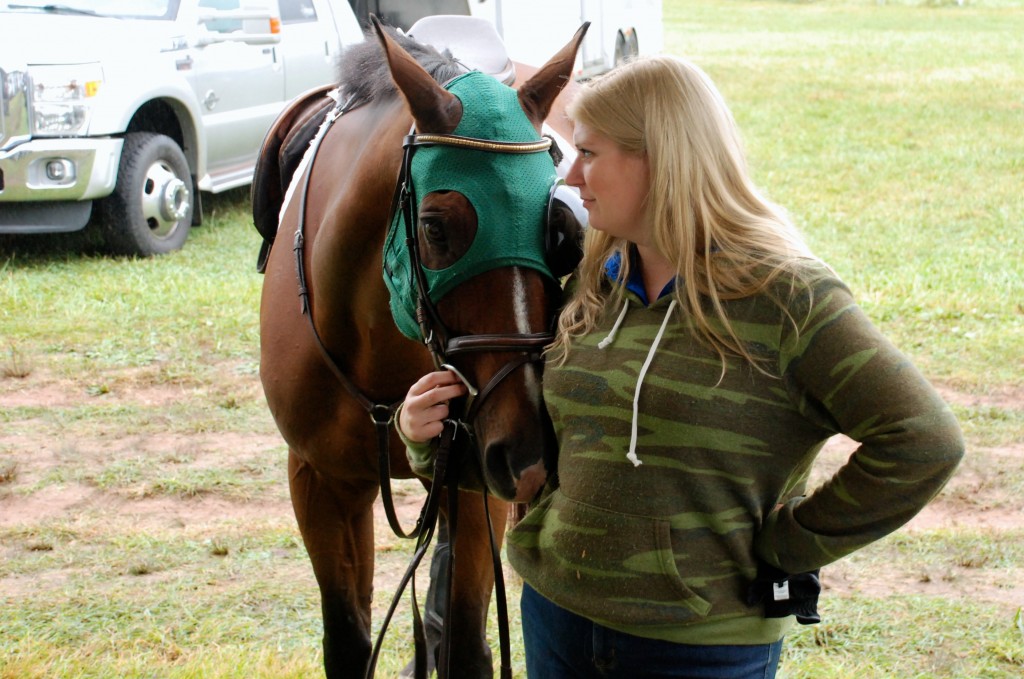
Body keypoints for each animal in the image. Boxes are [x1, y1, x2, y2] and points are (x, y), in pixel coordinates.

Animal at [254, 18, 586, 678]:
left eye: (557, 227)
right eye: (435, 227)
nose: (530, 455)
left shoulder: (476, 483)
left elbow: (467, 644)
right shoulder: (319, 481)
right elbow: (348, 642)